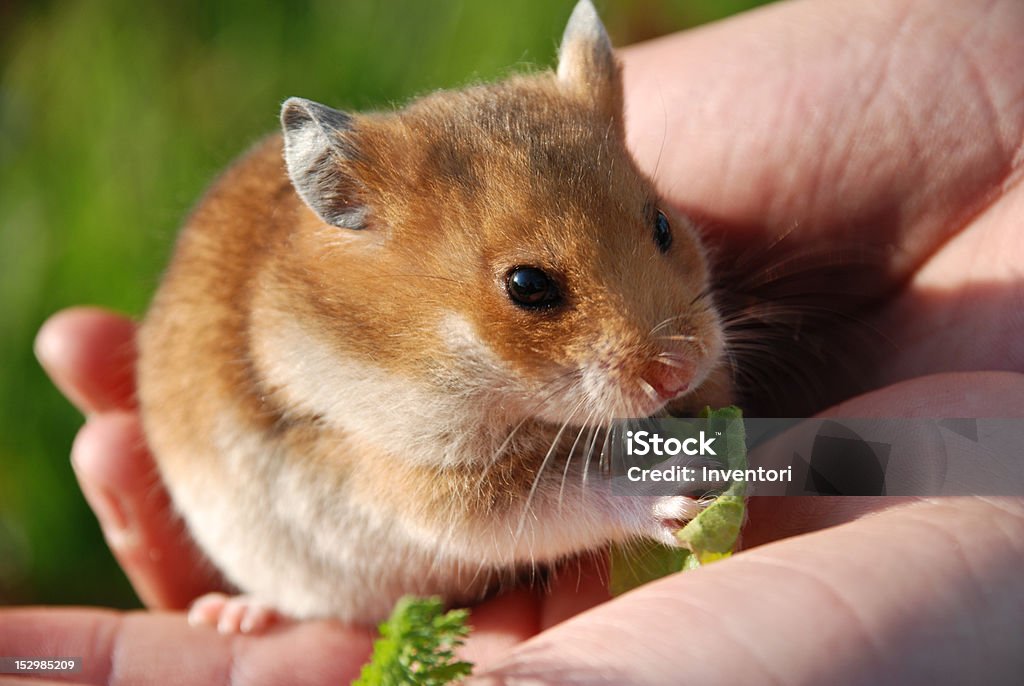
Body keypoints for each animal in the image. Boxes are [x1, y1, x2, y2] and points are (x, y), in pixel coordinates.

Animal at [136, 0, 733, 630]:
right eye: (527, 286)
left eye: (663, 226)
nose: (678, 372)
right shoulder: (433, 488)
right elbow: (569, 498)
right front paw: (680, 487)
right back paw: (230, 616)